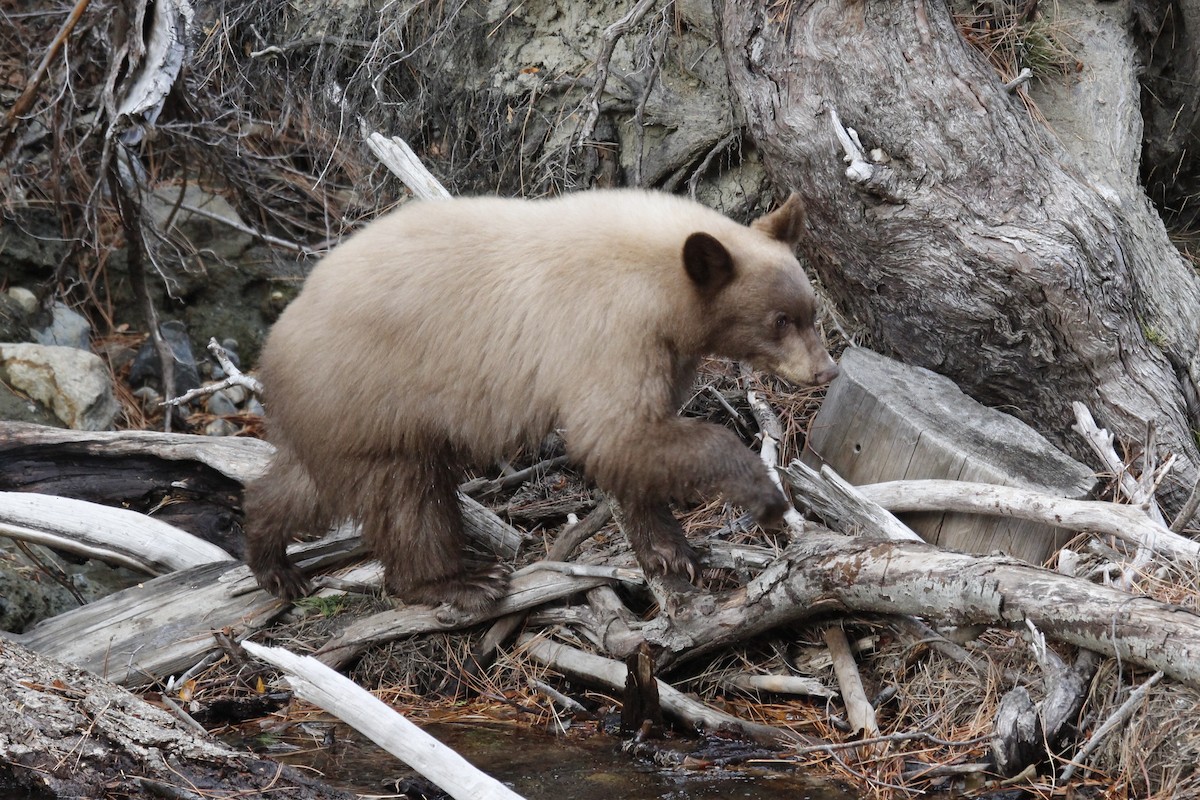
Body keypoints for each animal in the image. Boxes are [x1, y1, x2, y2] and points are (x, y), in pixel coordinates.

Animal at [244, 189, 838, 612]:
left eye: (810, 312)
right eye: (779, 320)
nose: (825, 370)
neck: (657, 279)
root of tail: (273, 347)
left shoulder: (662, 352)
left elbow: (636, 448)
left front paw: (673, 552)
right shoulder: (607, 328)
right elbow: (621, 434)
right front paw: (765, 496)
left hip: (342, 418)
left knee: (305, 486)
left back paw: (270, 557)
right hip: (375, 397)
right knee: (407, 500)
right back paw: (460, 581)